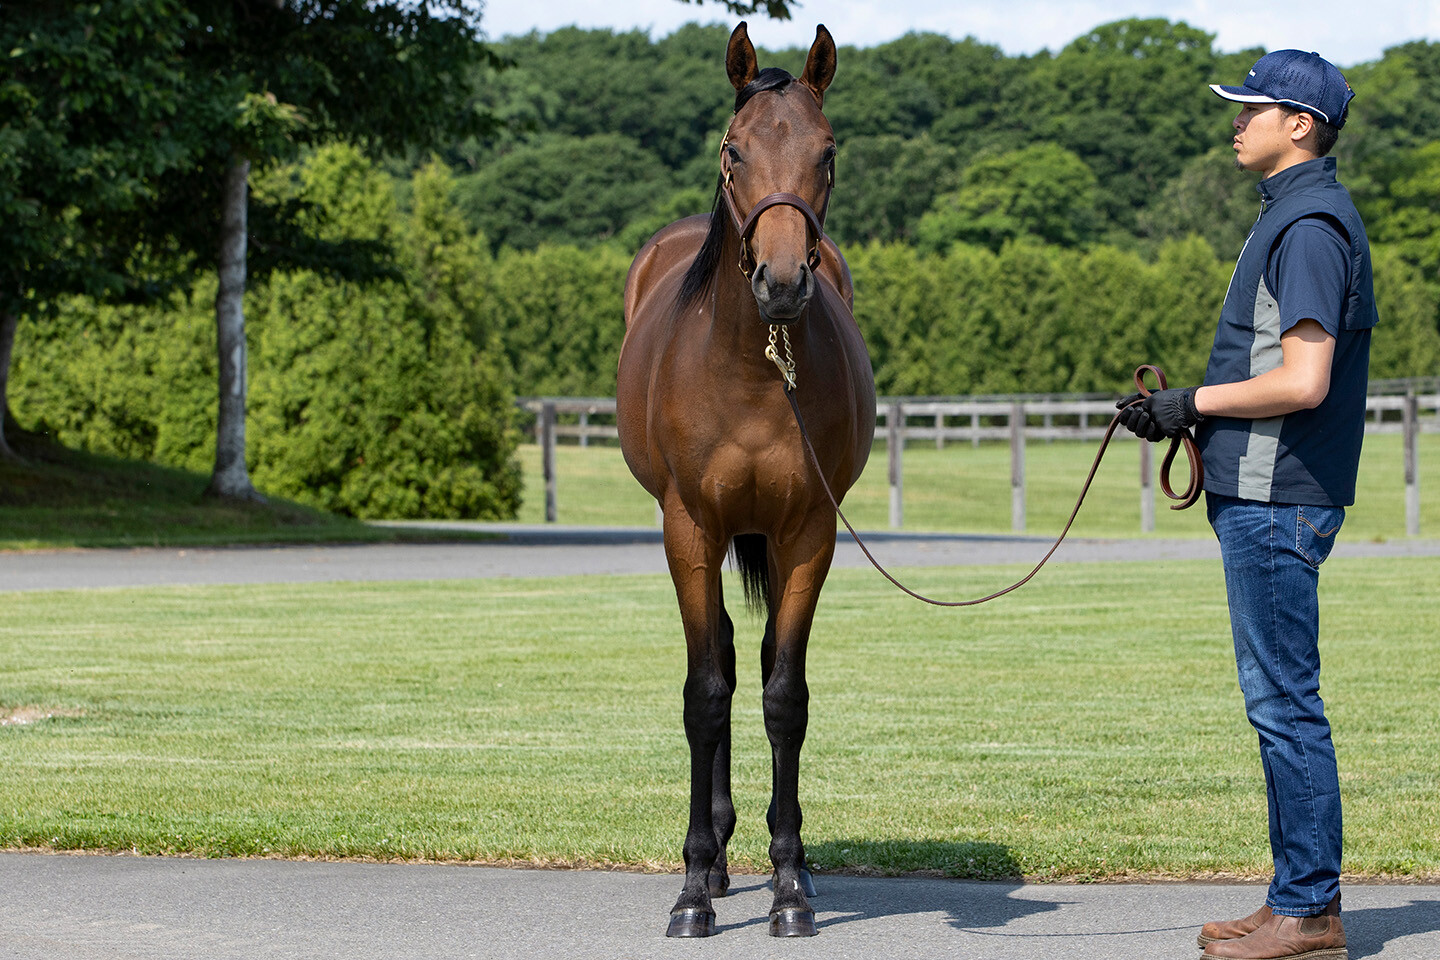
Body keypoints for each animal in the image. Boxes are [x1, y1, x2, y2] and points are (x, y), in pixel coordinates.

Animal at [613, 20, 869, 938]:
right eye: (734, 150)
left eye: (827, 153)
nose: (784, 281)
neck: (754, 375)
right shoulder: (688, 528)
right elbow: (705, 693)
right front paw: (693, 885)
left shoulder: (809, 534)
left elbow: (783, 695)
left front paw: (790, 885)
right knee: (722, 654)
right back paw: (719, 860)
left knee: (755, 664)